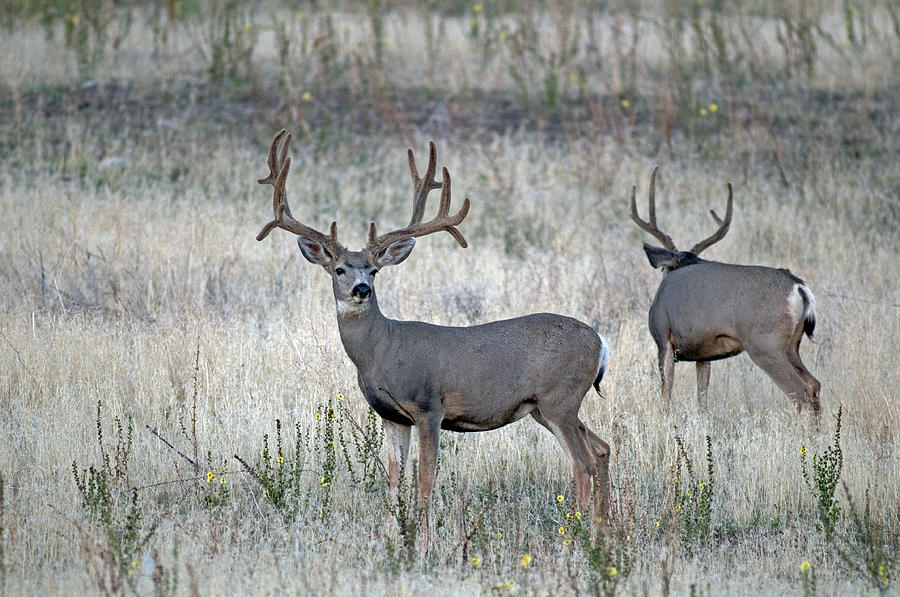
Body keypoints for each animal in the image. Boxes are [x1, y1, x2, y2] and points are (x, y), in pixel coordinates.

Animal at [256, 132, 616, 540]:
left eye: (374, 270)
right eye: (339, 269)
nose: (362, 289)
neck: (381, 350)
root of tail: (601, 343)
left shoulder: (428, 406)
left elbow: (425, 478)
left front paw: (424, 541)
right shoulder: (391, 416)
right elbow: (394, 478)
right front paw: (391, 535)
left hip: (560, 398)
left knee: (583, 463)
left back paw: (577, 537)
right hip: (547, 407)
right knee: (602, 449)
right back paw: (603, 531)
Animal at [628, 165, 820, 416]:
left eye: (664, 270)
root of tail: (798, 286)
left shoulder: (663, 339)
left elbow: (666, 395)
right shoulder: (704, 352)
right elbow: (702, 398)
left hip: (766, 344)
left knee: (801, 392)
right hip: (792, 343)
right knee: (814, 384)